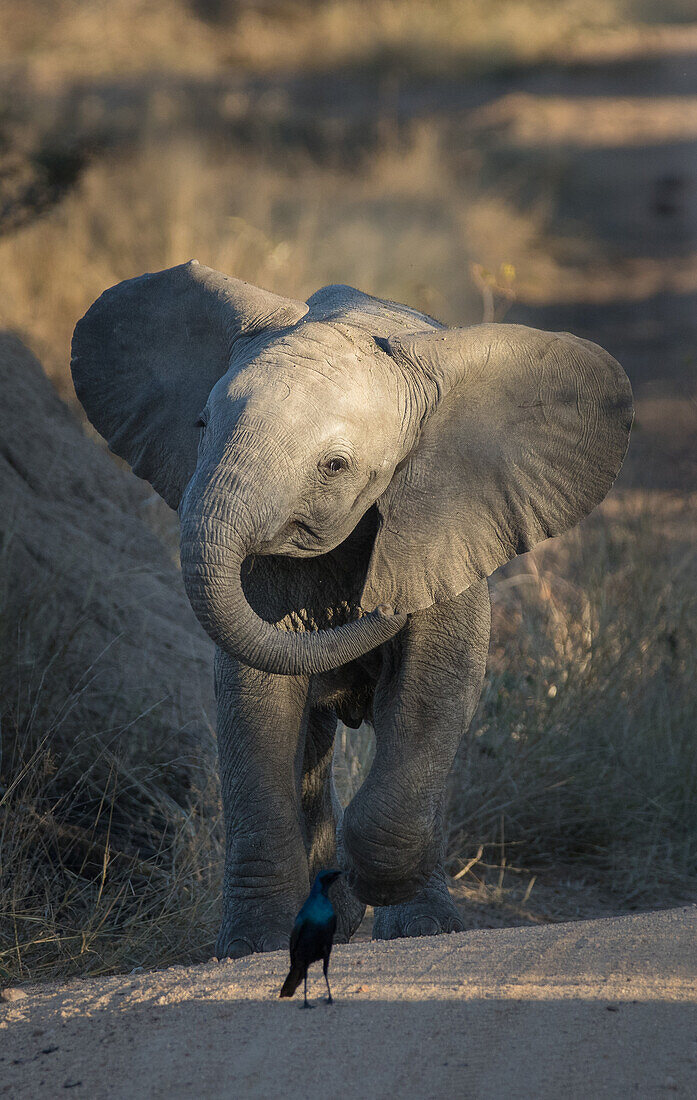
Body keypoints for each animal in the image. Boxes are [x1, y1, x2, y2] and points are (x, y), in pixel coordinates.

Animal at [70, 259, 628, 954]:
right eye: (200, 427)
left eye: (335, 466)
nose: (374, 601)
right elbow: (255, 698)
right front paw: (254, 945)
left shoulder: (446, 527)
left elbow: (433, 683)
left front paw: (382, 890)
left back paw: (406, 918)